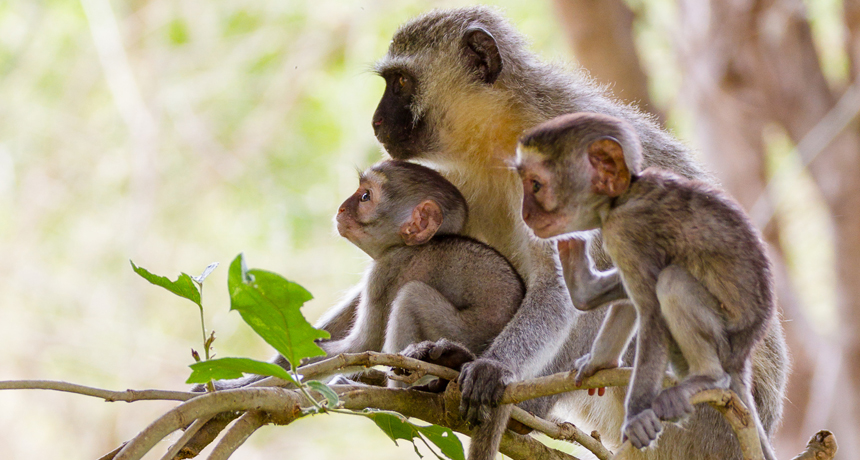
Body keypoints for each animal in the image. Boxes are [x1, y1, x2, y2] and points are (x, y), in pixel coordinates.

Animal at [321, 159, 524, 375]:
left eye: (365, 197)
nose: (341, 209)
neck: (405, 246)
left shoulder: (380, 274)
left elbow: (363, 345)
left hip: (463, 331)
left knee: (411, 296)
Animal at [515, 111, 778, 459]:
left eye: (536, 185)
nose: (525, 213)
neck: (620, 200)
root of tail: (741, 360)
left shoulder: (624, 230)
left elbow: (652, 311)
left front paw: (637, 413)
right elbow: (635, 298)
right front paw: (599, 362)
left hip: (725, 343)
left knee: (671, 282)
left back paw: (708, 378)